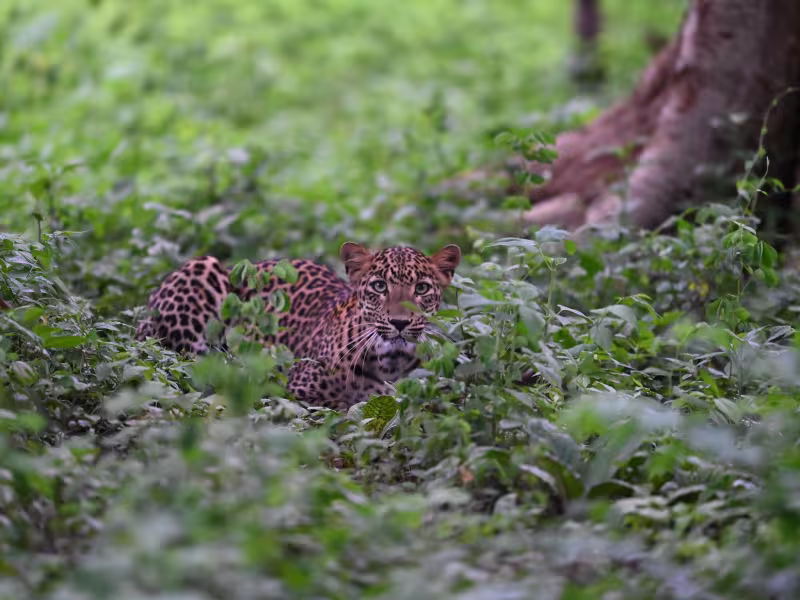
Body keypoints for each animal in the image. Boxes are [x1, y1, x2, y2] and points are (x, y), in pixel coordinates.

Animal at [135, 242, 461, 409]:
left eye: (421, 289)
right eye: (380, 286)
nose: (400, 322)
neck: (390, 360)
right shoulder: (296, 391)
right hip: (203, 269)